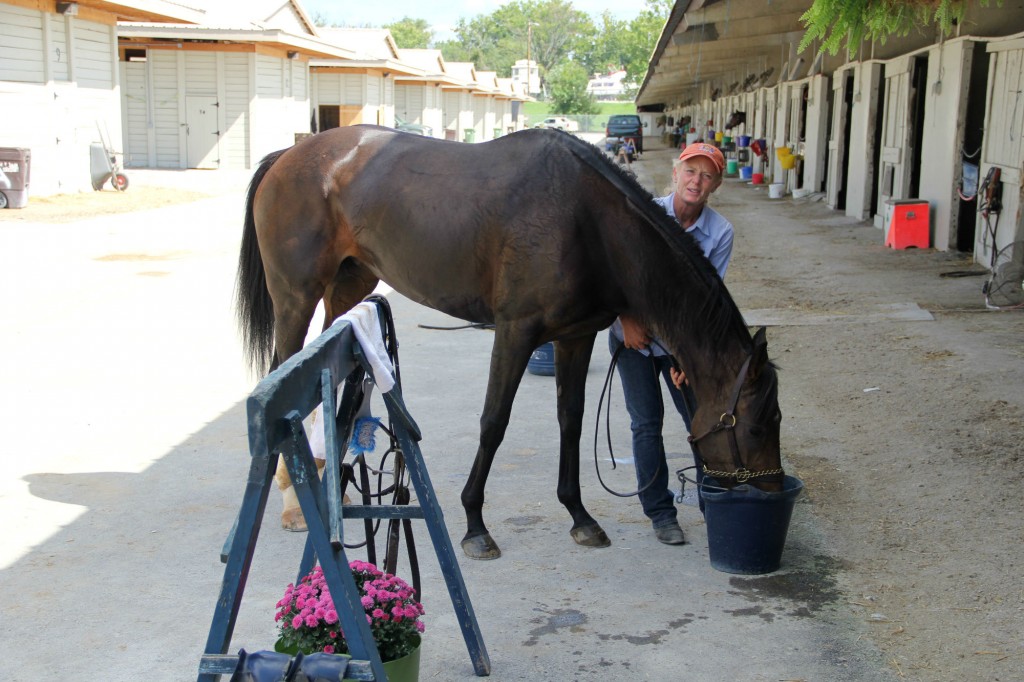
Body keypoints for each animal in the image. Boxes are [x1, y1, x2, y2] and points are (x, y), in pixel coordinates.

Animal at [237, 123, 782, 557]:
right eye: (760, 426)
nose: (774, 490)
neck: (588, 220)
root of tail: (287, 155)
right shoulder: (516, 330)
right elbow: (493, 423)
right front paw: (475, 525)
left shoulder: (575, 336)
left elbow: (570, 422)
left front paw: (580, 517)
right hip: (296, 296)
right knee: (283, 376)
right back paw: (293, 504)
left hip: (348, 286)